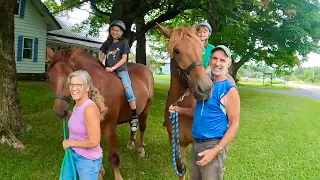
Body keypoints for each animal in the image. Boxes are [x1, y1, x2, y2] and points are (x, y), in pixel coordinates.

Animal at [46, 48, 154, 180]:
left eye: (70, 78)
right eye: (50, 77)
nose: (60, 111)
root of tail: (145, 69)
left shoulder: (109, 127)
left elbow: (113, 157)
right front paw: (99, 173)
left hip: (146, 109)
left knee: (142, 127)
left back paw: (141, 150)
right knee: (133, 124)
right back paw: (131, 142)